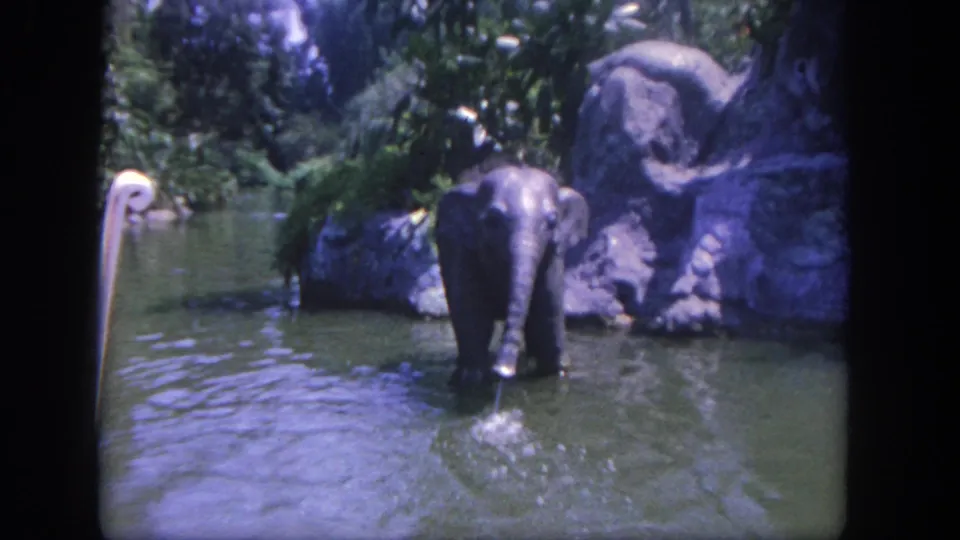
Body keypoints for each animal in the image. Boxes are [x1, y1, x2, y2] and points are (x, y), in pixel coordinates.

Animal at [434, 163, 589, 389]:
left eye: (552, 222)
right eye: (493, 220)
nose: (503, 372)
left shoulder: (553, 256)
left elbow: (548, 307)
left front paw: (557, 371)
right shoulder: (459, 250)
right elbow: (469, 309)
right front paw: (471, 377)